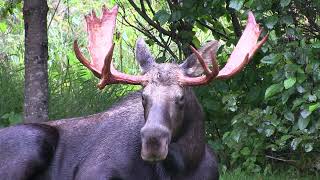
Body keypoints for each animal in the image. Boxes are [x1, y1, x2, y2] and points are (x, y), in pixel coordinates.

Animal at [0, 4, 268, 180]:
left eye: (181, 97)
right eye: (143, 96)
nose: (152, 140)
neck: (182, 169)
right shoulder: (92, 171)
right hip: (33, 142)